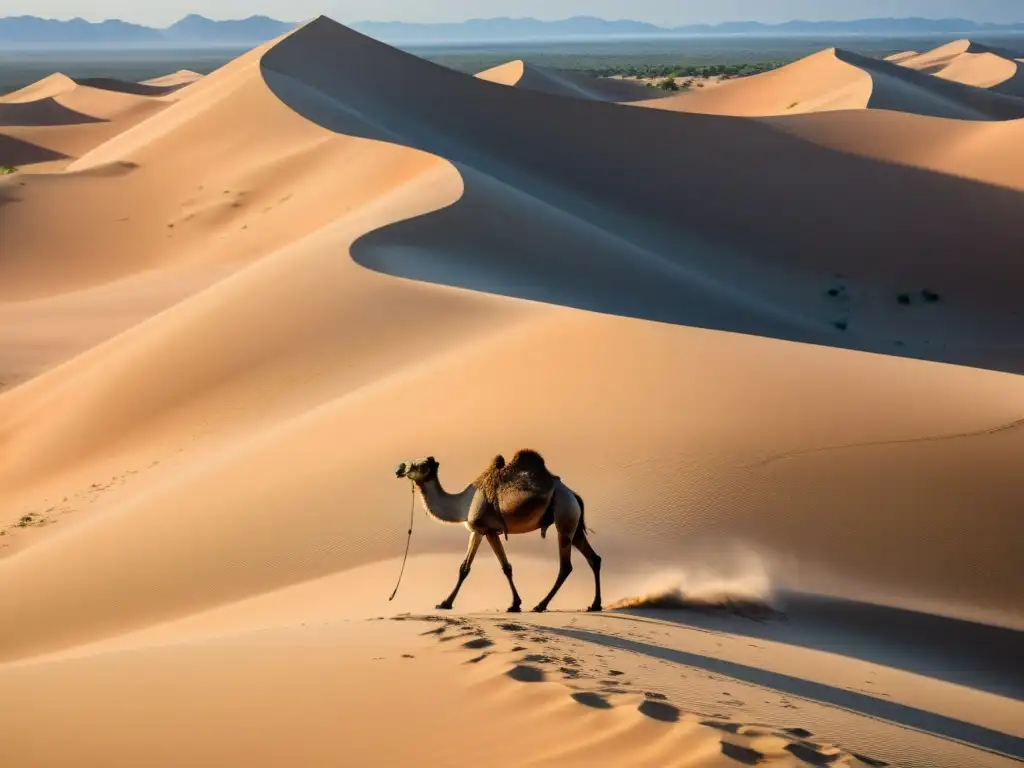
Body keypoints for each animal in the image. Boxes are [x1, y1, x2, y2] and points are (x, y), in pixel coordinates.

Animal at [391, 450, 598, 614]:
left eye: (420, 464)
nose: (399, 468)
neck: (462, 505)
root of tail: (573, 495)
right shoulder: (491, 532)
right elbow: (506, 567)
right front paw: (515, 604)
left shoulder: (479, 529)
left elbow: (464, 568)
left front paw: (445, 603)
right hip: (573, 522)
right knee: (593, 558)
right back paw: (594, 605)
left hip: (564, 515)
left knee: (566, 566)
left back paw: (541, 605)